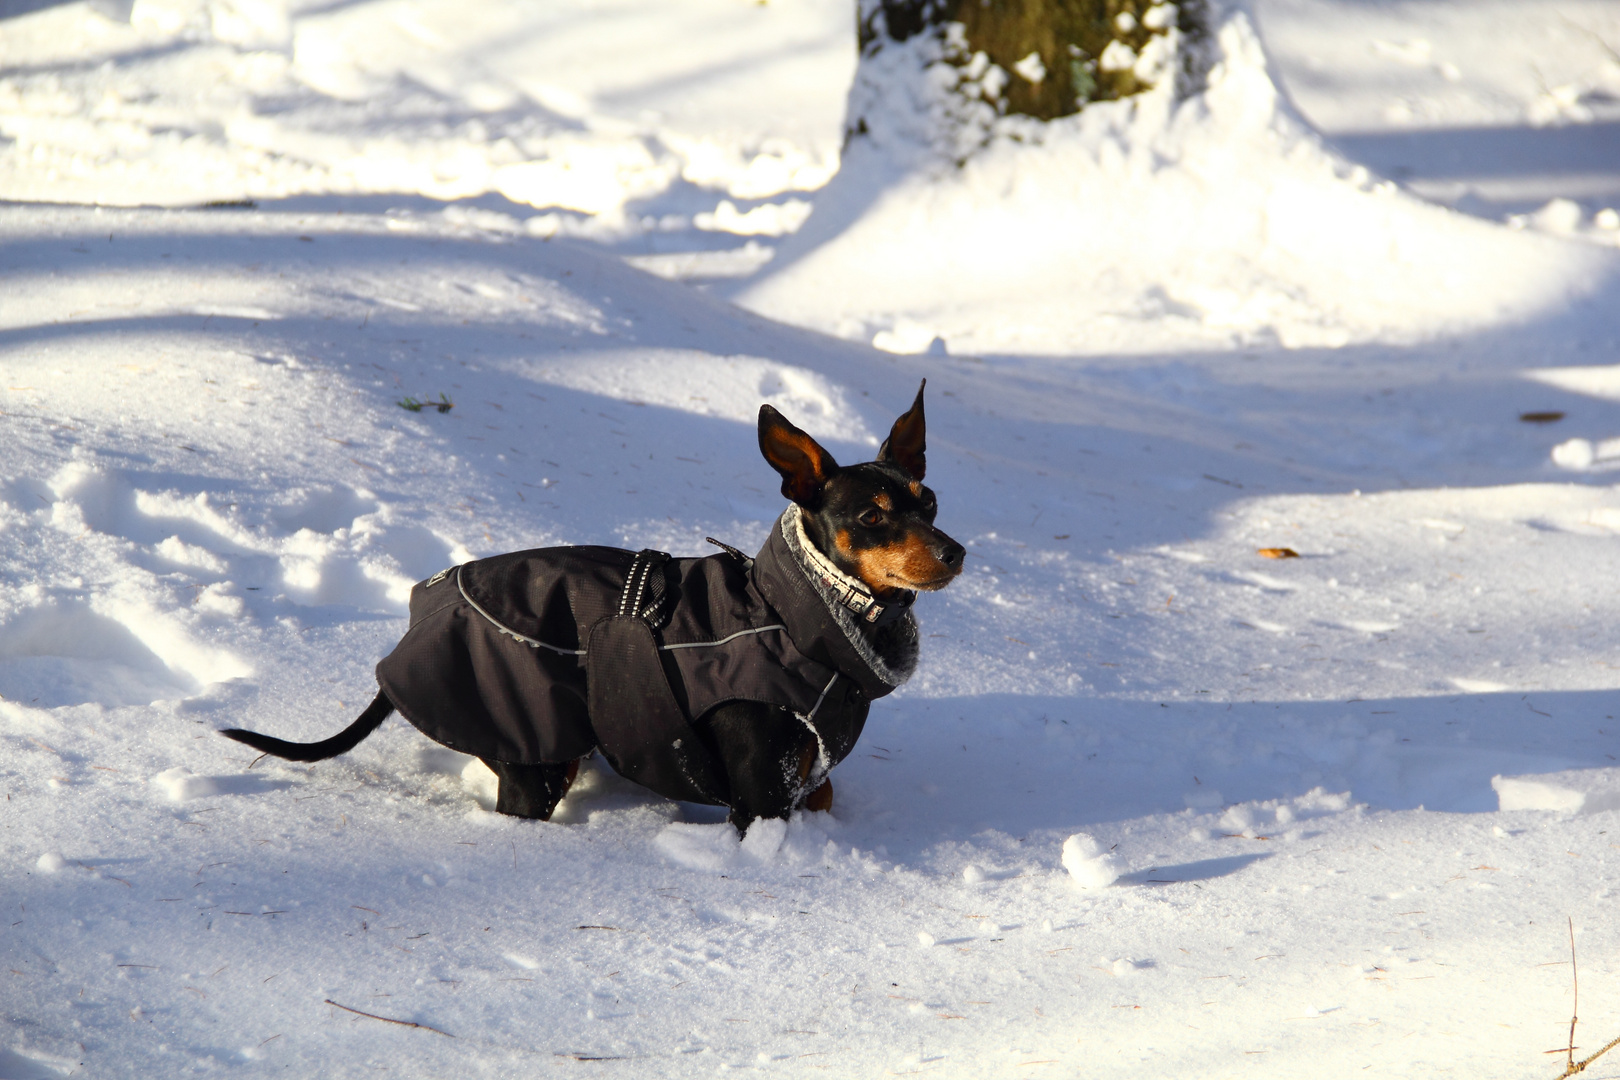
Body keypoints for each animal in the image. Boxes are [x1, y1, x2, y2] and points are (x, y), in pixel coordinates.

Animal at [225, 380, 959, 835]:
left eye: (929, 503)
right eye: (871, 516)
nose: (955, 553)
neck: (795, 615)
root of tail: (417, 626)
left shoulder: (805, 784)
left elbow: (825, 791)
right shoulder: (759, 800)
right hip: (533, 753)